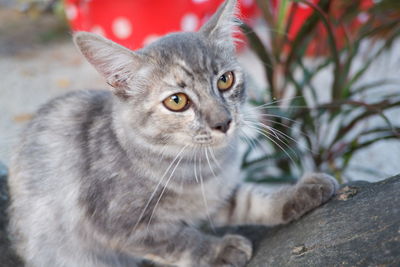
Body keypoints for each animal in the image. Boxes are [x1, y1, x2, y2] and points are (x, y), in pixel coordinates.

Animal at [7, 0, 338, 266]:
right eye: (177, 101)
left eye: (226, 80)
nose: (223, 122)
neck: (199, 167)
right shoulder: (118, 224)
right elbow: (177, 239)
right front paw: (220, 250)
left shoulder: (216, 193)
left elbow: (249, 199)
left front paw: (297, 193)